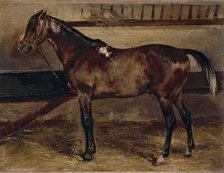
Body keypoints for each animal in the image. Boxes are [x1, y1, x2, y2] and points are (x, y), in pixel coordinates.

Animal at [18, 9, 217, 165]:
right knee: (187, 116)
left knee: (171, 121)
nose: (21, 46)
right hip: (177, 95)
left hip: (164, 97)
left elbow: (87, 121)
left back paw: (162, 156)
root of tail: (181, 52)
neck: (80, 53)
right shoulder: (84, 96)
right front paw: (90, 150)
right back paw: (189, 150)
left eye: (33, 26)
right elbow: (88, 121)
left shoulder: (84, 95)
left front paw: (88, 154)